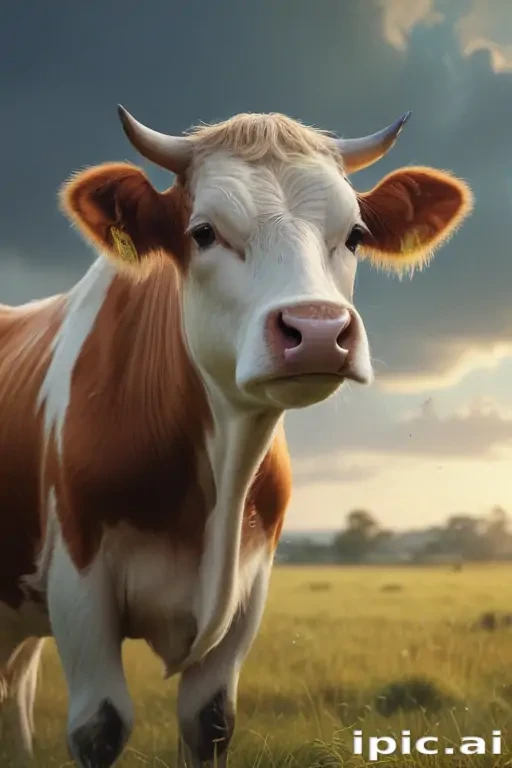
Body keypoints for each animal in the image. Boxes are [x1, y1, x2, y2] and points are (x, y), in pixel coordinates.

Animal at [0, 106, 473, 767]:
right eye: (203, 232)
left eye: (354, 234)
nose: (318, 331)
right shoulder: (79, 581)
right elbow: (100, 725)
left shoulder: (250, 590)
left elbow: (211, 721)